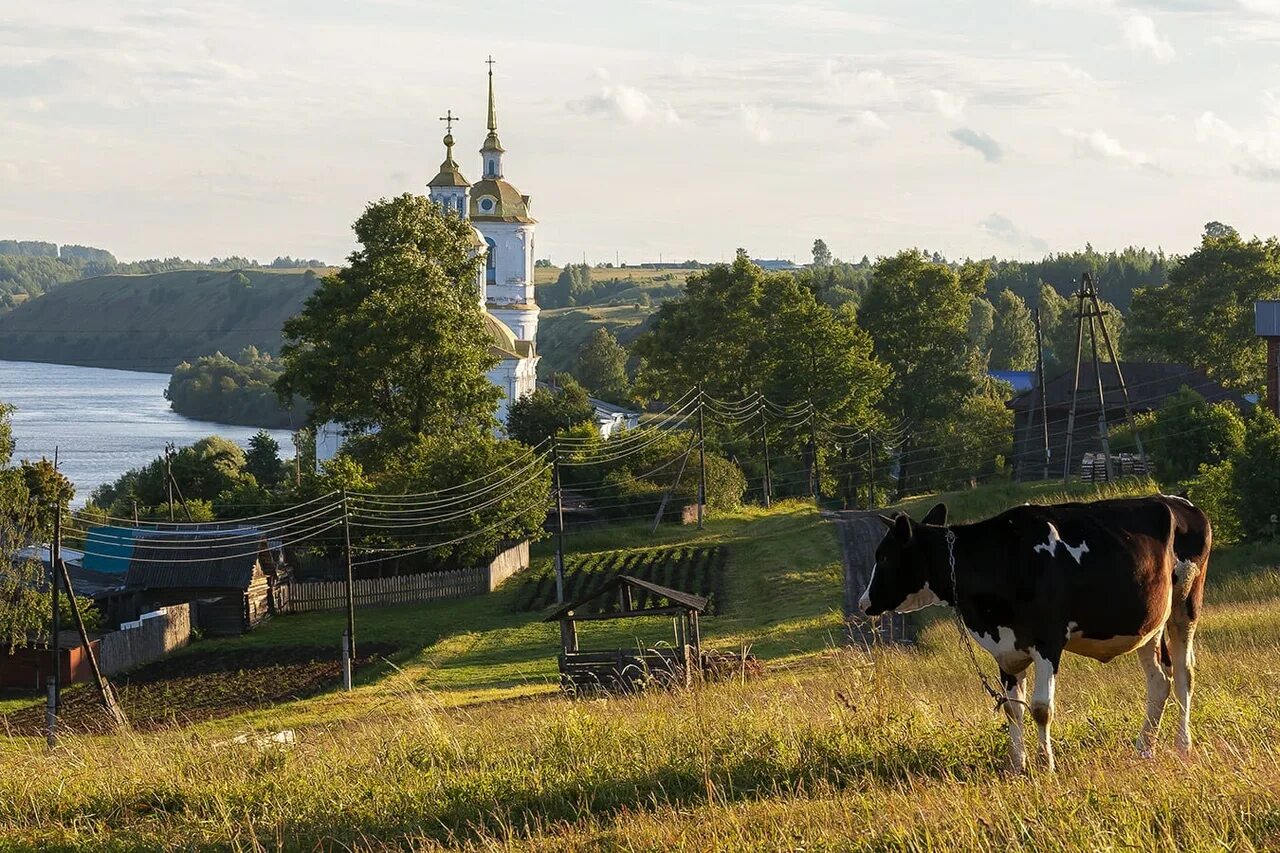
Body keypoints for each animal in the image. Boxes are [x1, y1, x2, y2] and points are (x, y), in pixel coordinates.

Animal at [860, 491, 1208, 768]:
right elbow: (1013, 709)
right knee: (1159, 679)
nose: (864, 602)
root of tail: (1177, 502)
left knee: (1184, 674)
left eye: (884, 556)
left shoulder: (1048, 641)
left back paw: (1183, 744)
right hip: (1150, 623)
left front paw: (1046, 764)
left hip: (1185, 605)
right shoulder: (1006, 650)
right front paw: (1018, 764)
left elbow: (1041, 709)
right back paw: (1144, 748)